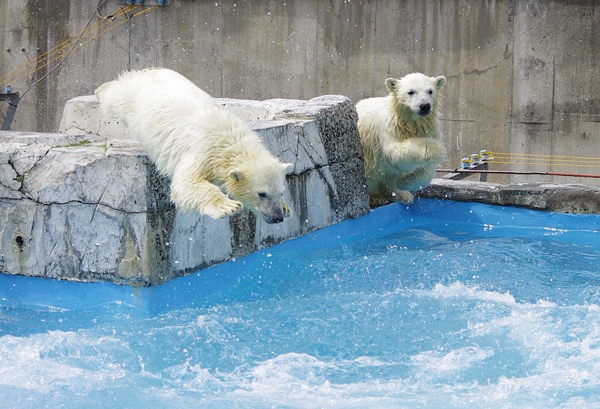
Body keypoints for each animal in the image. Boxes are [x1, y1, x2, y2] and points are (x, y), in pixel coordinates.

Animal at [95, 69, 294, 225]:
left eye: (280, 192)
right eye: (262, 194)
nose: (277, 217)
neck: (230, 138)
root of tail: (152, 70)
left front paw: (287, 207)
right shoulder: (203, 150)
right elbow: (186, 183)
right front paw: (227, 206)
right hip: (134, 97)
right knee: (116, 96)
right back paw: (100, 89)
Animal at [356, 73, 446, 206]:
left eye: (430, 91)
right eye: (411, 92)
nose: (424, 106)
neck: (409, 122)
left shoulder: (430, 128)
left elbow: (427, 171)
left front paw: (403, 183)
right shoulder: (390, 127)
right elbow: (394, 153)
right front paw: (437, 148)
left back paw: (403, 195)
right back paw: (377, 197)